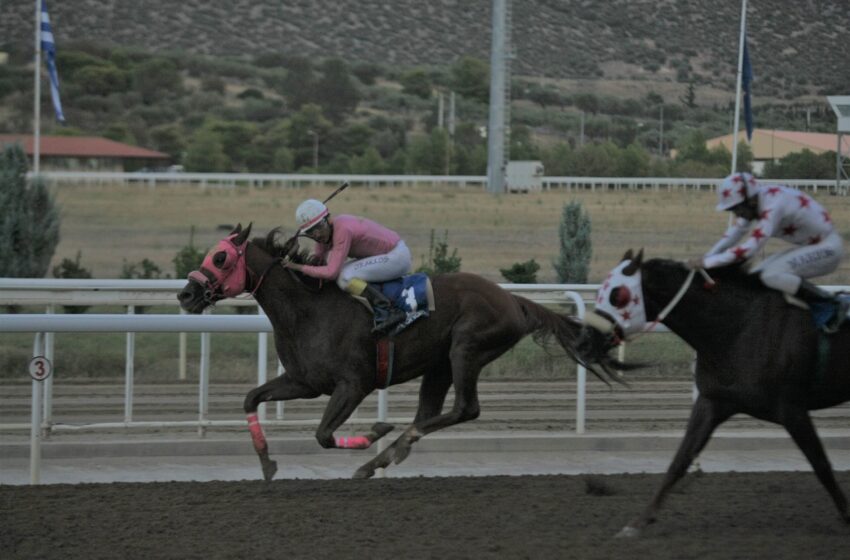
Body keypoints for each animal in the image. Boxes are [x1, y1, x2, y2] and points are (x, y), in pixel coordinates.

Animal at [176, 225, 608, 480]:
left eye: (220, 257)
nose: (186, 294)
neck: (308, 309)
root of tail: (513, 300)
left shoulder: (354, 384)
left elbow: (323, 434)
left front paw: (376, 431)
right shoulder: (304, 381)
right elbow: (252, 398)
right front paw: (267, 463)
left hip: (466, 348)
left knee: (465, 409)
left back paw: (388, 449)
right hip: (439, 365)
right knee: (430, 413)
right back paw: (383, 458)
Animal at [576, 252, 848, 536]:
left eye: (618, 296)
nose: (583, 342)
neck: (739, 328)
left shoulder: (792, 408)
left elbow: (821, 464)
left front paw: (847, 515)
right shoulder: (713, 401)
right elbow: (680, 460)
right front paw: (638, 523)